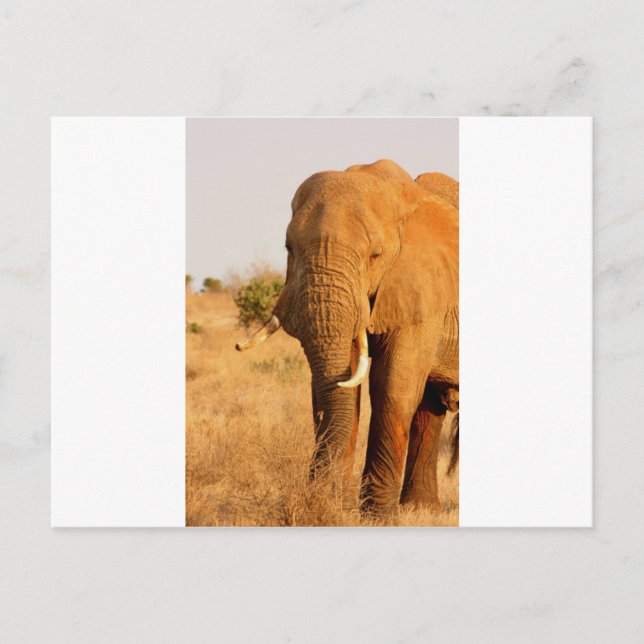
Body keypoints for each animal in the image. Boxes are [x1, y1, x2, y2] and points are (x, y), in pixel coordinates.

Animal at [236, 159, 459, 516]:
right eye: (288, 248)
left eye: (375, 255)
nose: (322, 495)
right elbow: (342, 386)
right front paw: (335, 502)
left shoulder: (421, 285)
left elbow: (393, 386)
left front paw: (378, 517)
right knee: (429, 408)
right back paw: (421, 510)